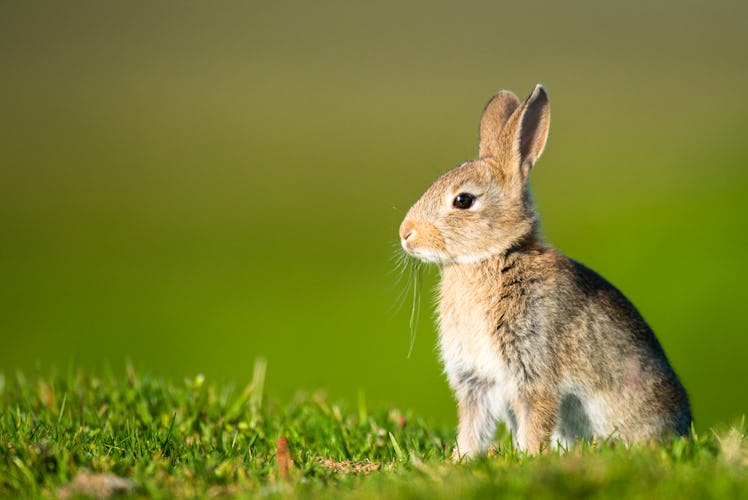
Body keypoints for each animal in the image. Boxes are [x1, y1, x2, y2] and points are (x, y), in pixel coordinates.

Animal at [398, 84, 691, 459]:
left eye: (463, 200)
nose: (406, 233)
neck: (493, 257)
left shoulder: (533, 368)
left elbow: (535, 418)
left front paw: (529, 458)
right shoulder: (476, 380)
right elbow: (473, 426)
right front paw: (461, 460)